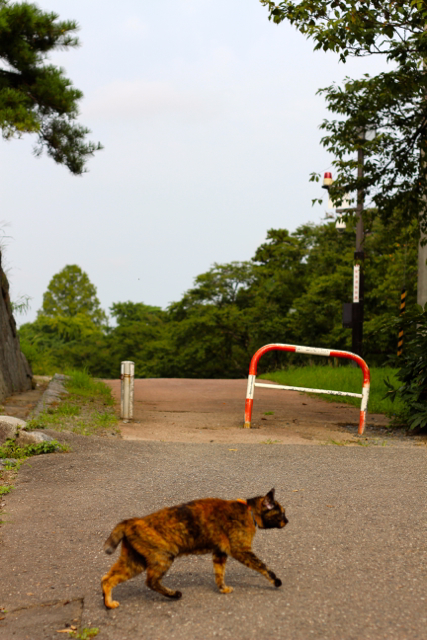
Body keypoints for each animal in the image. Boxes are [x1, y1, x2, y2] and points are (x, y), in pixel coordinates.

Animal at [102, 488, 288, 609]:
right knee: (151, 581)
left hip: (134, 562)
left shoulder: (219, 553)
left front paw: (223, 589)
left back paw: (109, 603)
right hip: (163, 557)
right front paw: (276, 581)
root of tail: (131, 521)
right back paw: (174, 594)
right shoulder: (240, 550)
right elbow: (263, 567)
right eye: (282, 513)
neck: (248, 511)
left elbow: (219, 574)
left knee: (107, 579)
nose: (288, 521)